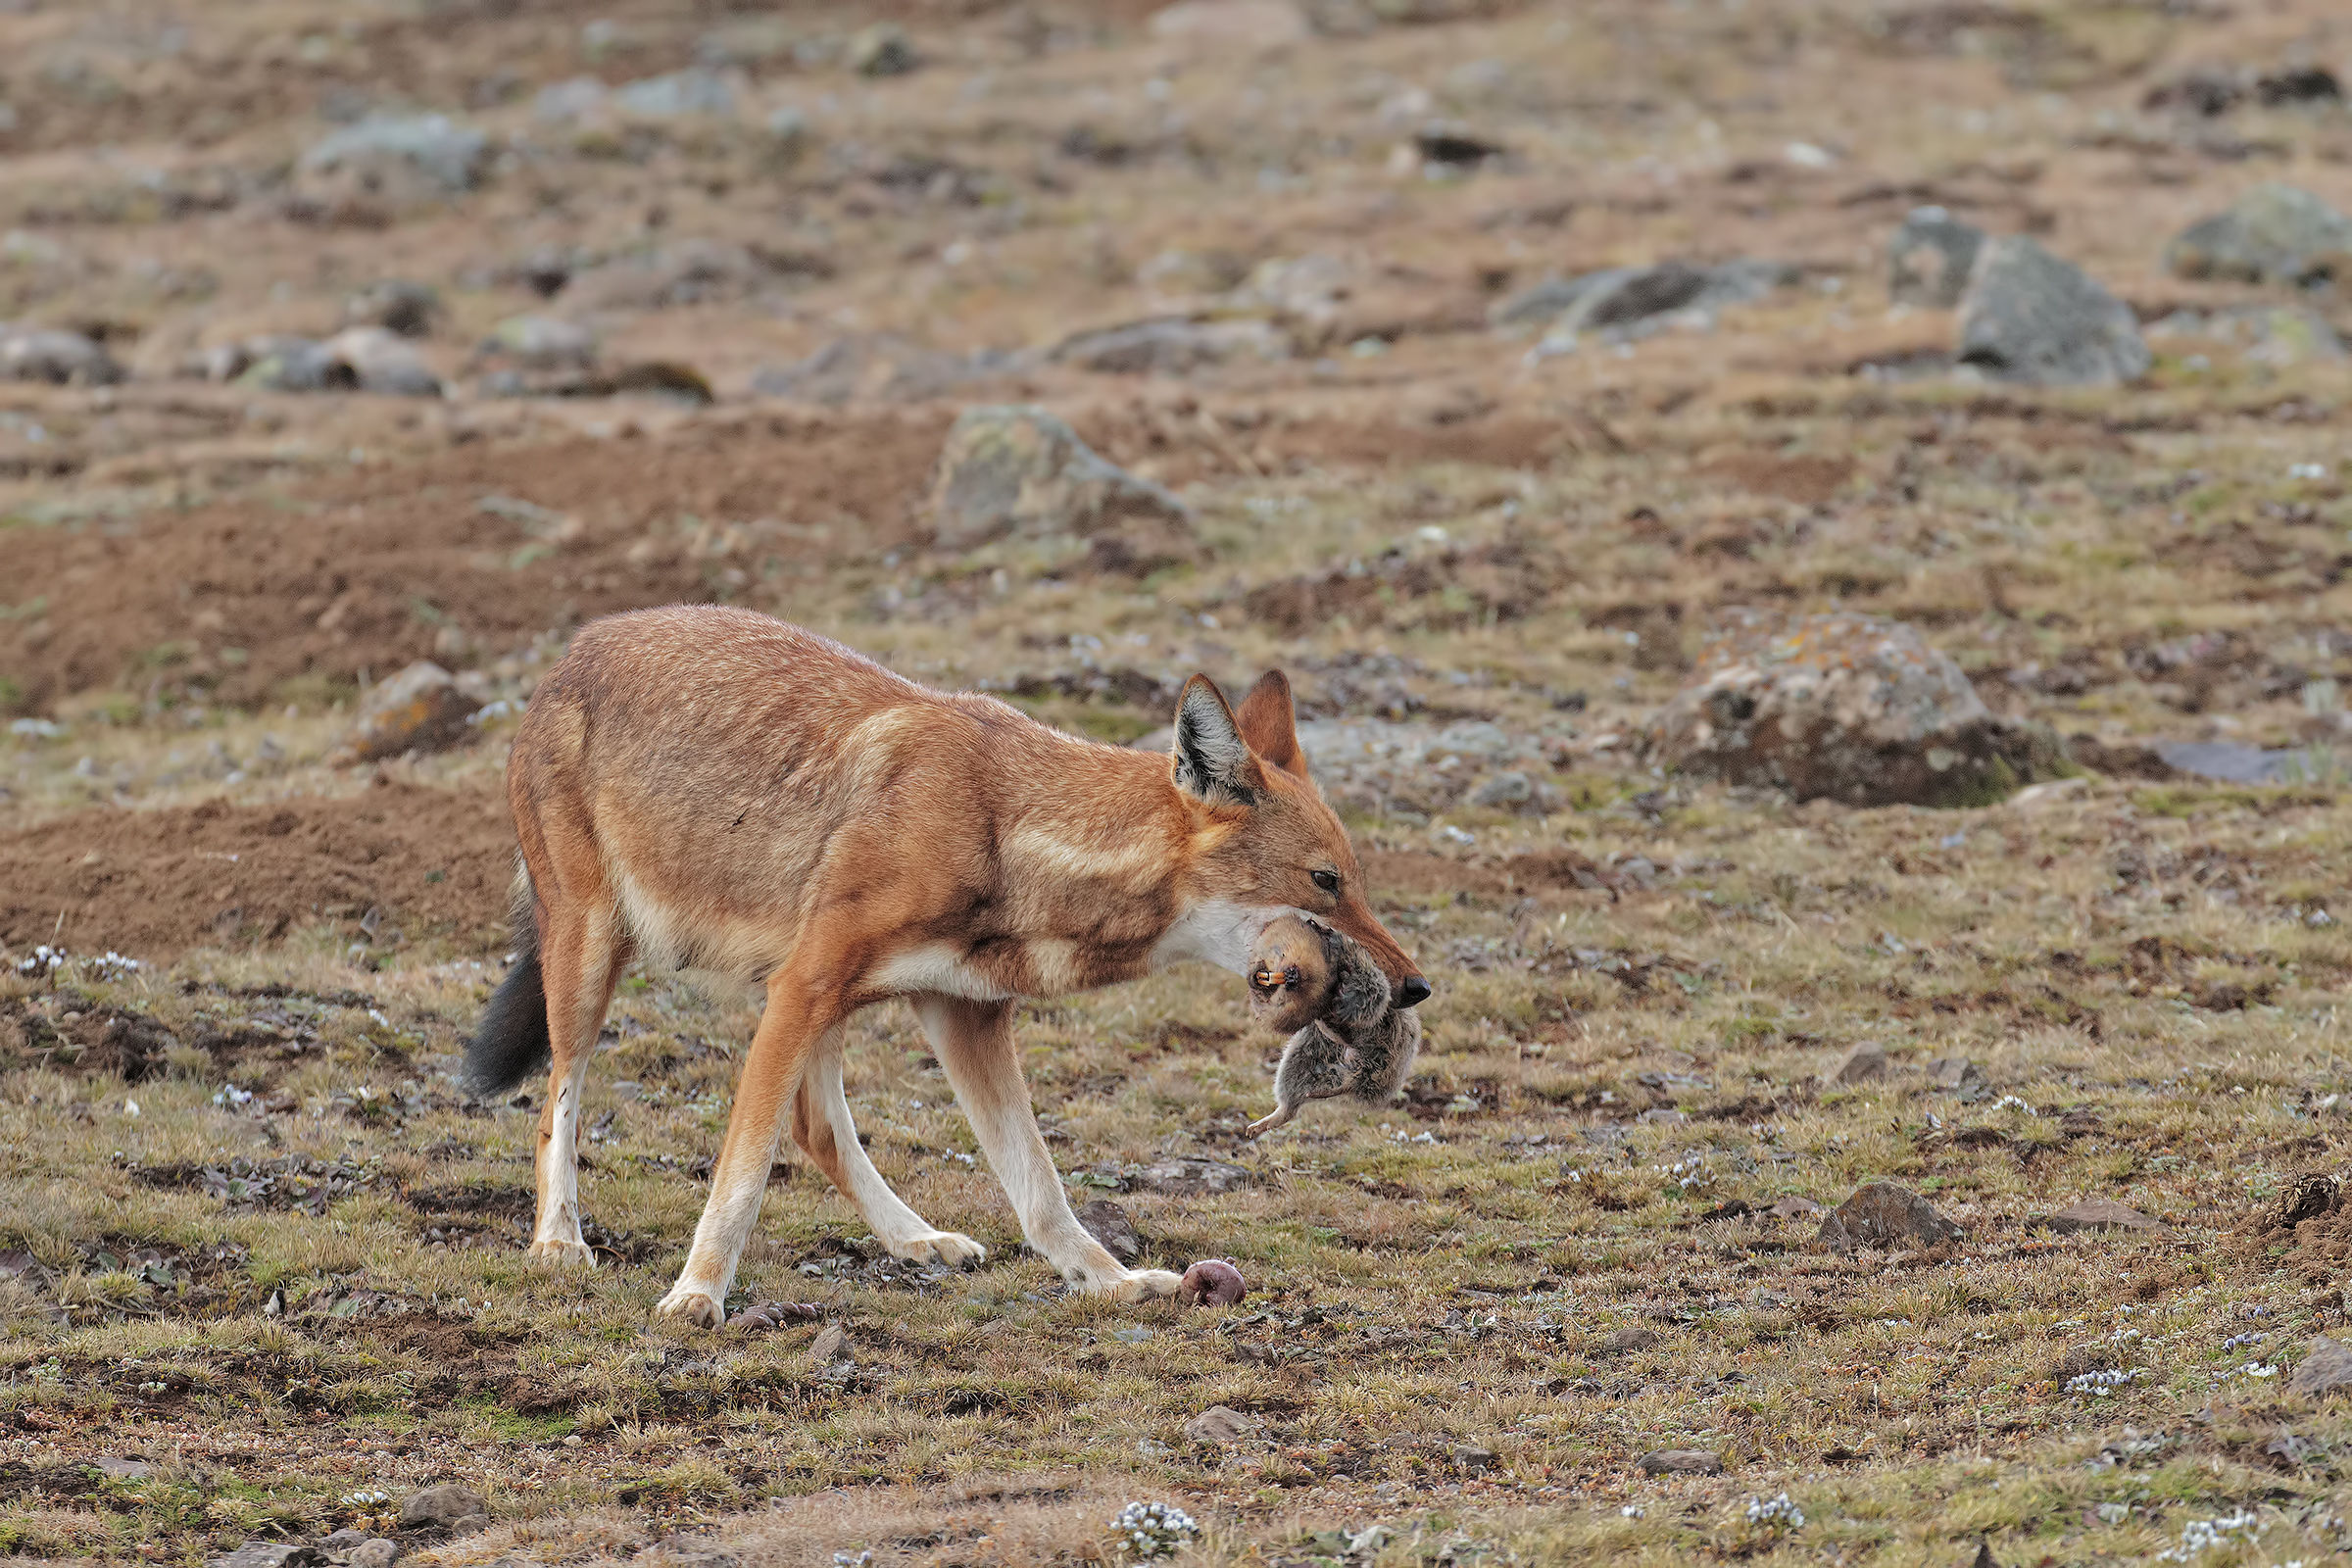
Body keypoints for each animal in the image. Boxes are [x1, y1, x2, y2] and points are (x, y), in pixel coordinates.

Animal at [465, 605, 1428, 1327]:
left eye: (1356, 882)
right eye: (1326, 882)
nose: (1416, 987)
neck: (1005, 829)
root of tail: (573, 650)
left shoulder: (961, 1011)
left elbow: (1040, 1188)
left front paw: (1111, 1283)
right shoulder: (812, 986)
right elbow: (738, 1177)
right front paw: (695, 1296)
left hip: (805, 1001)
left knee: (816, 1128)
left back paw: (917, 1241)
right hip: (600, 964)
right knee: (558, 1103)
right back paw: (558, 1244)